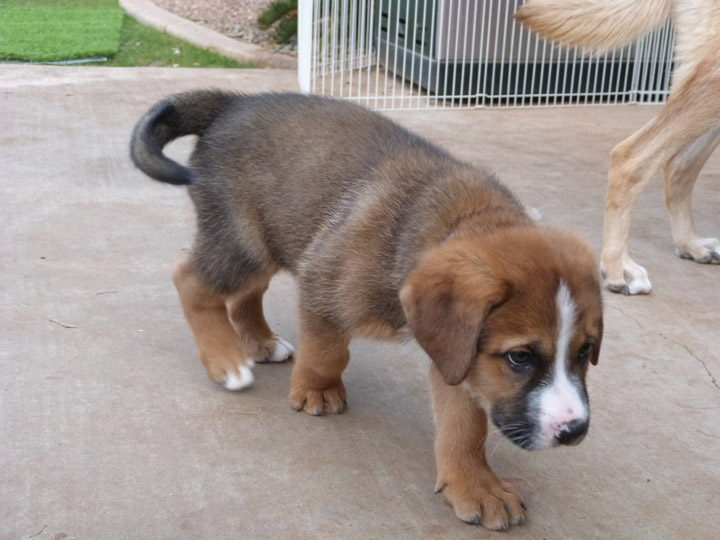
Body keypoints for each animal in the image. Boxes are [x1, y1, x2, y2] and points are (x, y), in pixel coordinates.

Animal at [129, 90, 600, 528]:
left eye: (585, 352)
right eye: (519, 357)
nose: (575, 431)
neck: (453, 221)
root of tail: (233, 101)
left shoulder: (460, 356)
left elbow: (466, 426)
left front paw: (474, 484)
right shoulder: (324, 278)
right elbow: (329, 350)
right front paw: (317, 390)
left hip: (268, 238)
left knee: (246, 293)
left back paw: (259, 342)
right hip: (242, 242)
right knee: (191, 280)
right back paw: (226, 361)